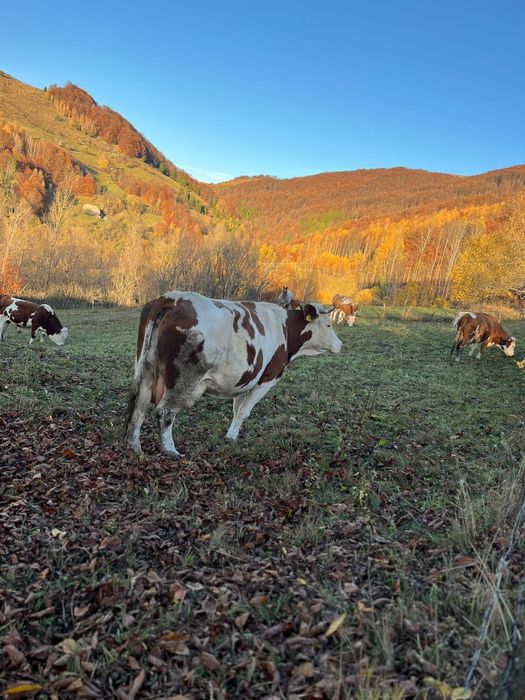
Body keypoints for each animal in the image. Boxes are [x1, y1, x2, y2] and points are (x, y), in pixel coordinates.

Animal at [123, 291, 343, 456]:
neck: (285, 329)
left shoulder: (245, 379)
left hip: (147, 371)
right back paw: (171, 451)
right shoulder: (267, 378)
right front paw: (232, 437)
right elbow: (244, 411)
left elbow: (237, 409)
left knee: (139, 408)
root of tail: (171, 297)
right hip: (181, 380)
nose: (340, 345)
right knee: (165, 412)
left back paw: (135, 447)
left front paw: (230, 436)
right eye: (329, 325)